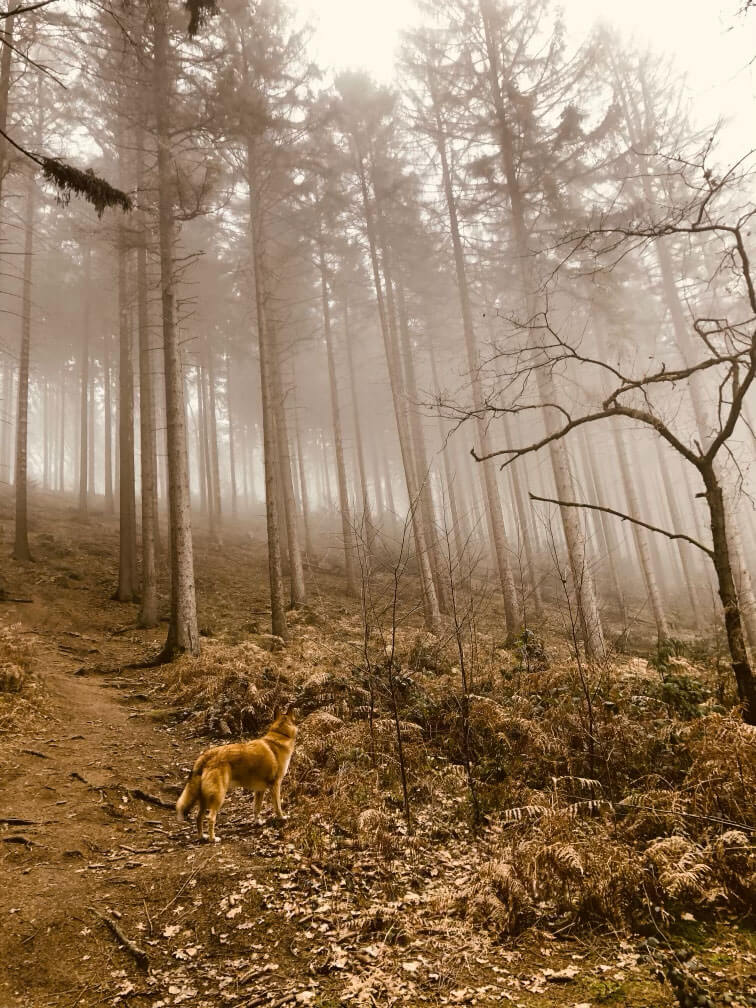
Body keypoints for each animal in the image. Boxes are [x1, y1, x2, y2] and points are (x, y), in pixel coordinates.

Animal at [176, 705, 298, 838]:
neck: (280, 734)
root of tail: (207, 755)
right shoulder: (275, 786)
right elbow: (278, 807)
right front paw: (282, 818)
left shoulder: (259, 790)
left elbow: (256, 808)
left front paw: (258, 822)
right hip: (218, 796)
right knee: (210, 817)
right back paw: (213, 839)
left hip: (204, 798)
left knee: (199, 817)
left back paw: (202, 837)